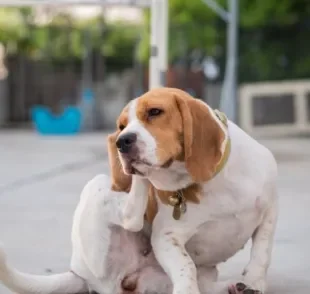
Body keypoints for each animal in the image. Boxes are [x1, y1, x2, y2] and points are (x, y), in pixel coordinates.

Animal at [111, 87, 278, 294]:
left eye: (154, 111)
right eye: (121, 126)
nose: (122, 141)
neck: (213, 181)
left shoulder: (270, 211)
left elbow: (262, 252)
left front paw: (254, 281)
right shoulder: (166, 237)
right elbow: (186, 265)